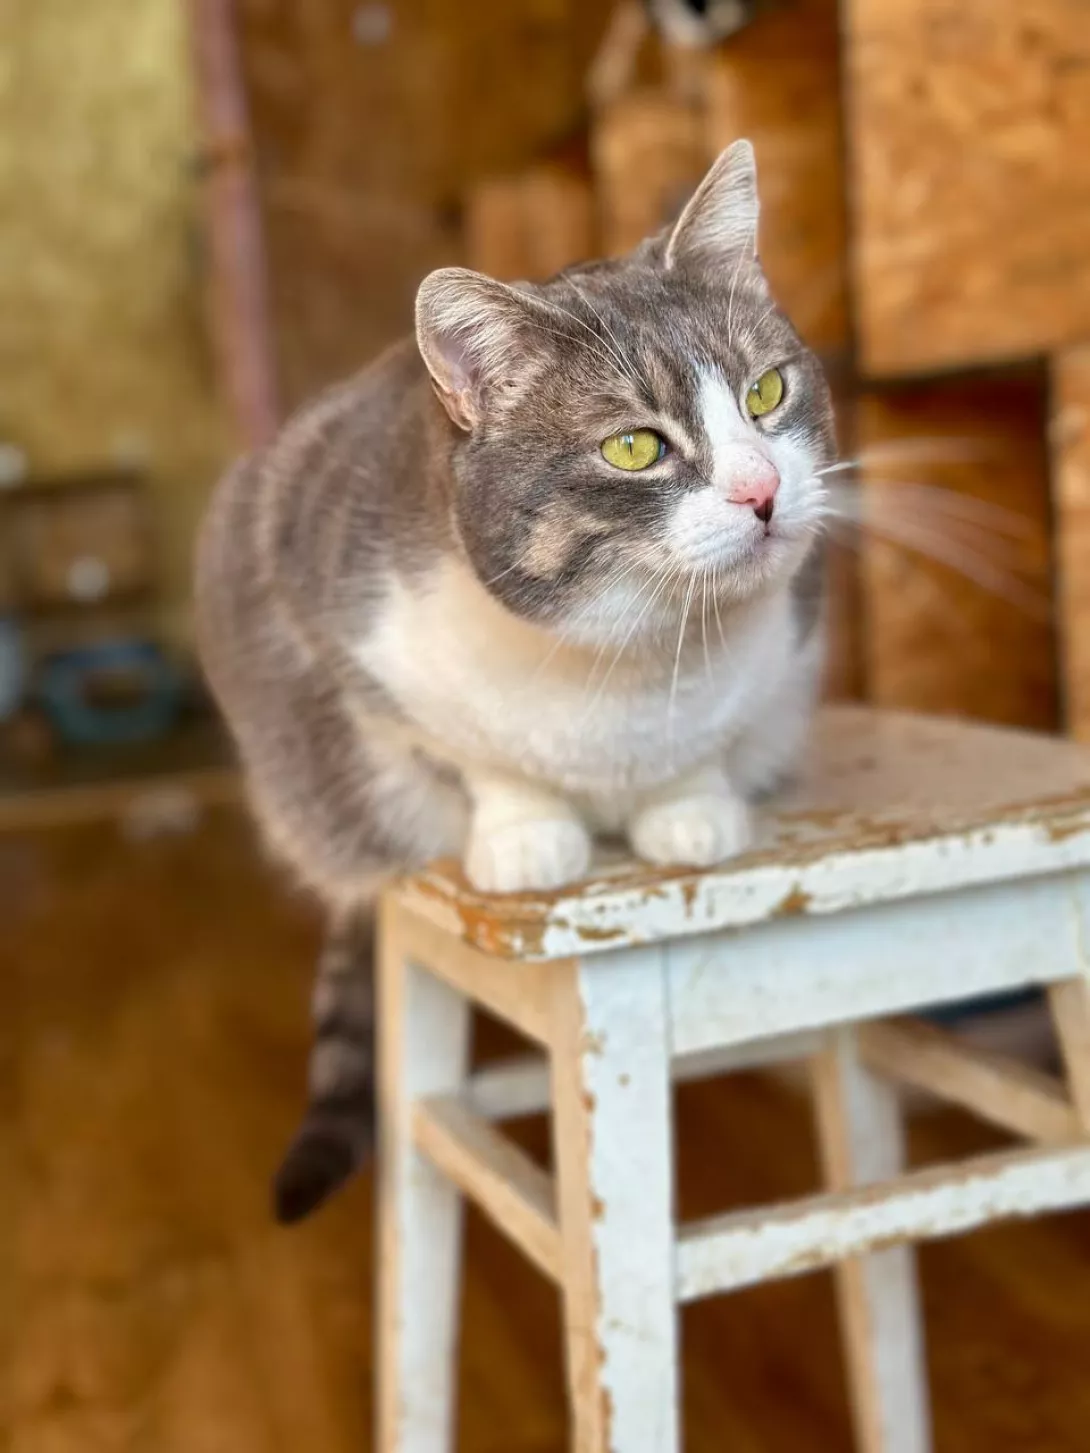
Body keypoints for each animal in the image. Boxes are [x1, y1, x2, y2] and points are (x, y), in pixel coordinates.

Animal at [195, 141, 836, 1223]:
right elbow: (480, 757)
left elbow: (703, 748)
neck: (630, 660)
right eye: (634, 446)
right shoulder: (352, 638)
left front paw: (689, 808)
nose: (762, 490)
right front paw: (529, 831)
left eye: (764, 394)